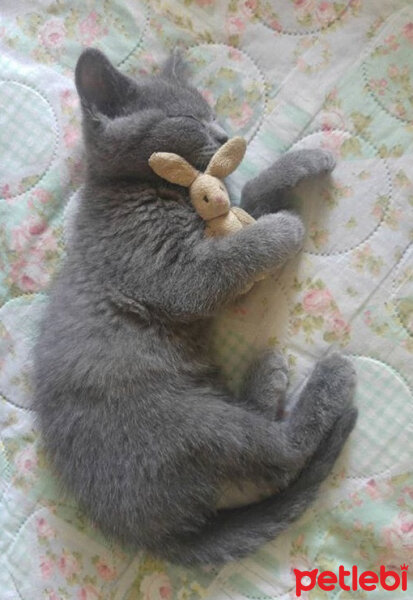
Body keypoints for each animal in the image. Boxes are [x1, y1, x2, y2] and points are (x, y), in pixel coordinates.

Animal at [32, 49, 356, 564]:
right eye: (190, 119)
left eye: (212, 114)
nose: (224, 135)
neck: (136, 188)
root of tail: (153, 535)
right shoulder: (177, 278)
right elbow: (239, 254)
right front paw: (285, 228)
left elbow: (251, 200)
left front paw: (303, 160)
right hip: (187, 424)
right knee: (277, 454)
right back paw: (330, 377)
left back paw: (267, 377)